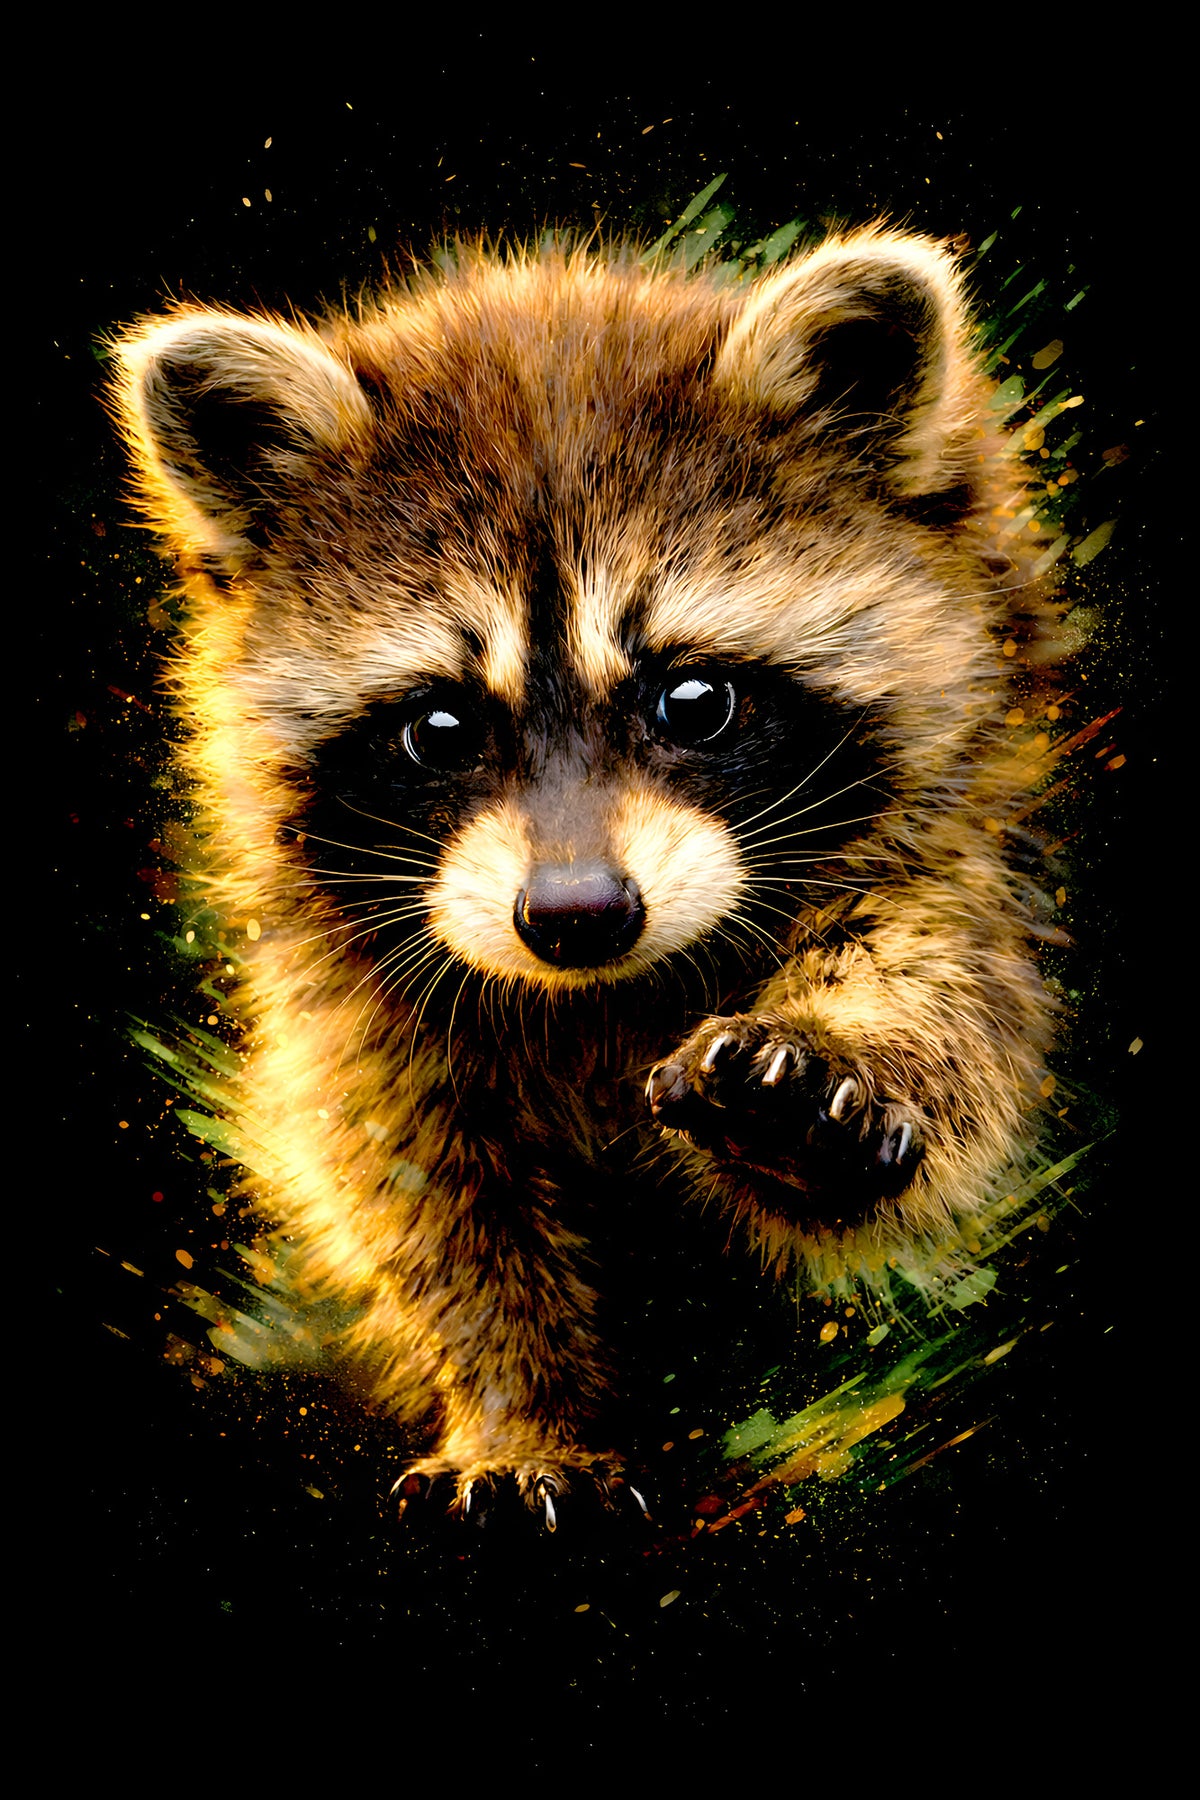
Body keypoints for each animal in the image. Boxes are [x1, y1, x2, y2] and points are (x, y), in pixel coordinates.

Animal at [112, 230, 1051, 1520]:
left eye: (694, 701)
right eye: (441, 729)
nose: (576, 917)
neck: (600, 998)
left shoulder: (953, 825)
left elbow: (947, 990)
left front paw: (846, 1059)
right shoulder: (353, 985)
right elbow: (417, 1185)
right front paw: (514, 1405)